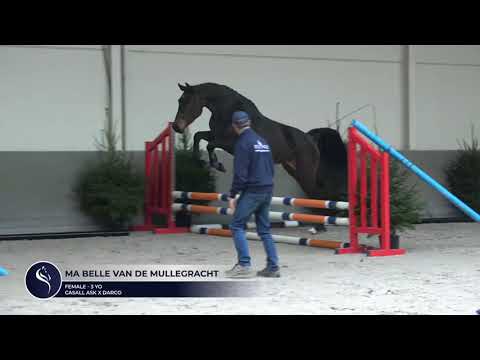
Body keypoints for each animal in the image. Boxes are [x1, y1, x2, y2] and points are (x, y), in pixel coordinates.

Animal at [171, 82, 346, 208]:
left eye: (186, 101)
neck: (229, 111)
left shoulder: (228, 143)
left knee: (318, 193)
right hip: (293, 169)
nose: (177, 127)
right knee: (317, 193)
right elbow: (198, 136)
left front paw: (217, 164)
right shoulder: (215, 134)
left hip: (305, 172)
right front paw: (199, 160)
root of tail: (311, 140)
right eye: (179, 101)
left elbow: (210, 145)